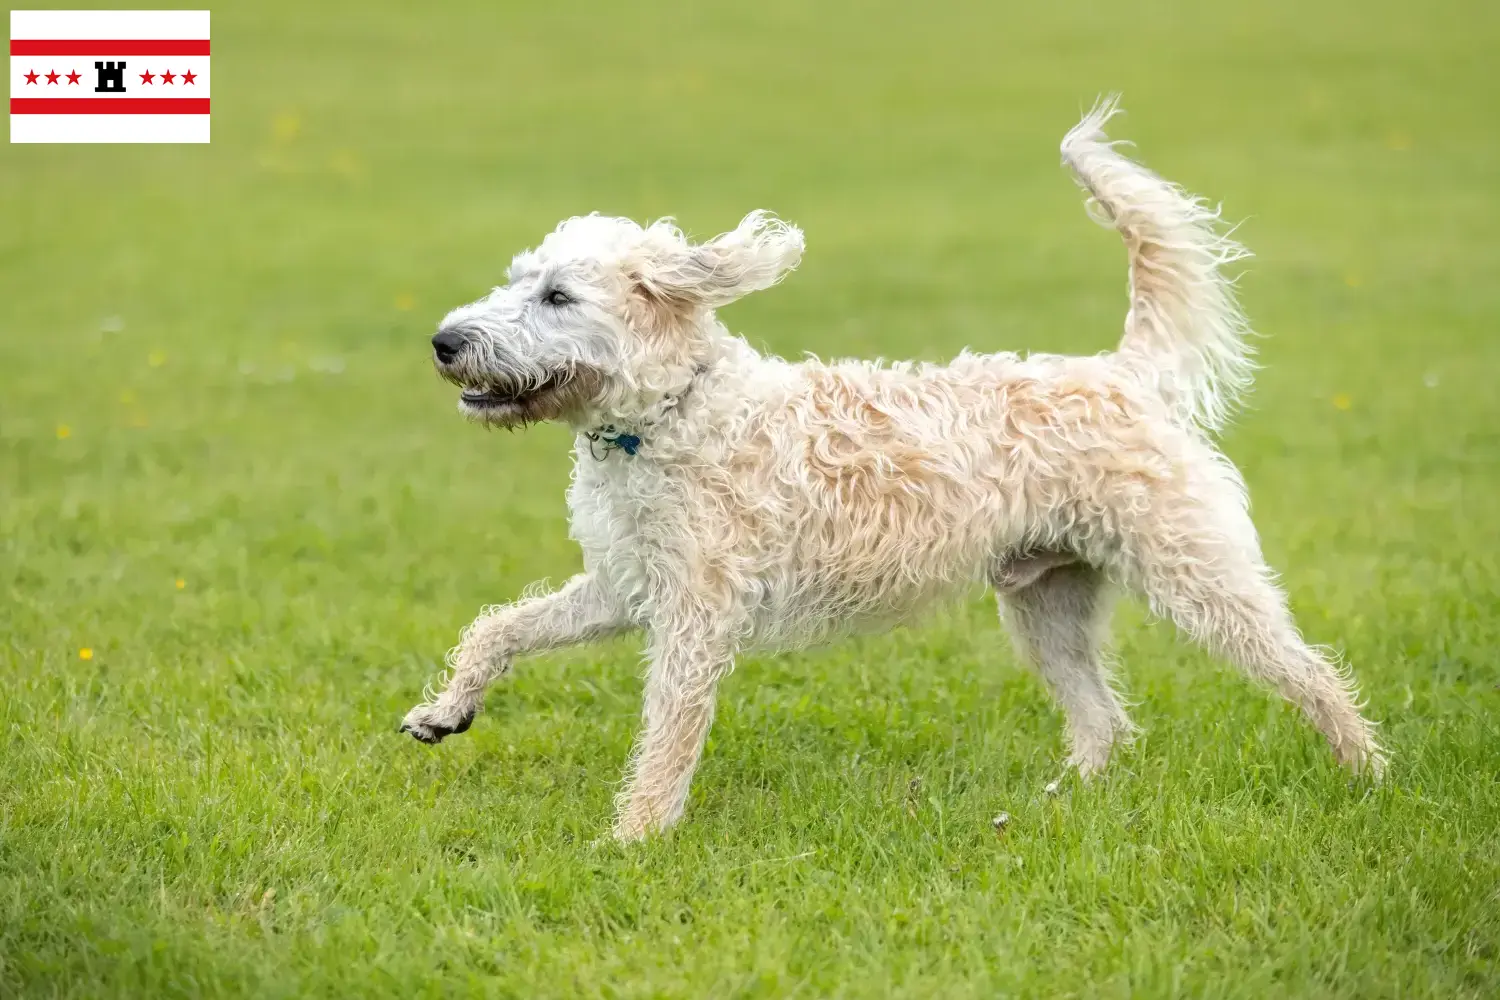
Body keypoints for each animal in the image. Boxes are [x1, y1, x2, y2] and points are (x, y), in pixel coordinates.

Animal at [399, 99, 1380, 839]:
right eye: (516, 278)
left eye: (558, 295)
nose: (444, 341)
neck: (667, 415)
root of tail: (1122, 372)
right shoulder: (624, 586)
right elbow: (500, 629)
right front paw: (445, 712)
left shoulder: (696, 620)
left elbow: (667, 737)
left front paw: (634, 840)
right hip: (1046, 604)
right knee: (1104, 718)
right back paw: (1063, 802)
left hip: (1198, 577)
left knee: (1311, 671)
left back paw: (1367, 773)